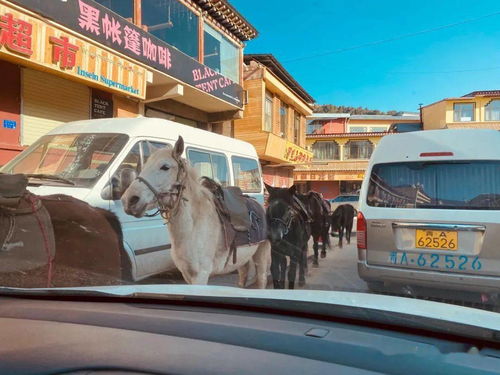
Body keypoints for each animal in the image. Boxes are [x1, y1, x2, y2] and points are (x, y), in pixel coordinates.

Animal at [120, 137, 270, 288]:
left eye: (165, 167)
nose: (129, 200)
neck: (192, 227)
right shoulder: (187, 274)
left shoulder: (201, 275)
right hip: (242, 260)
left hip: (261, 256)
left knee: (262, 279)